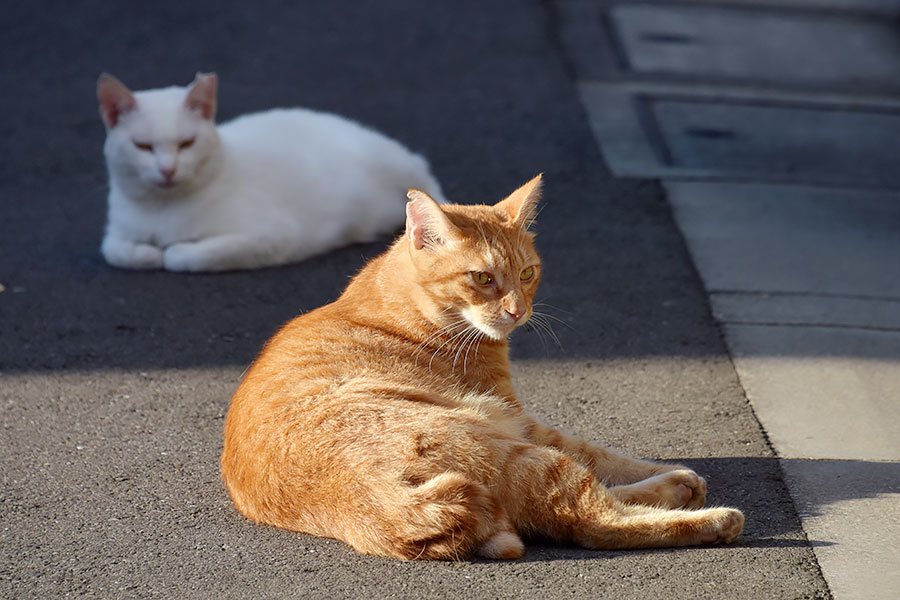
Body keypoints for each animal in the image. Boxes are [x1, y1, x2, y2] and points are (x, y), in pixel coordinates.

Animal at [96, 72, 446, 272]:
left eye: (187, 143)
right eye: (142, 146)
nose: (168, 170)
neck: (163, 208)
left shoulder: (272, 236)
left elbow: (182, 256)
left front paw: (169, 252)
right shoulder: (115, 235)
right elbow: (118, 252)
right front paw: (146, 253)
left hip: (401, 166)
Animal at [221, 176, 740, 560]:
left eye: (527, 274)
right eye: (482, 278)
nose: (517, 311)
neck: (408, 307)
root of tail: (381, 507)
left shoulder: (519, 417)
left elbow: (606, 458)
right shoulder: (520, 420)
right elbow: (599, 457)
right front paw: (672, 474)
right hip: (504, 447)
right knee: (594, 520)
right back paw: (707, 517)